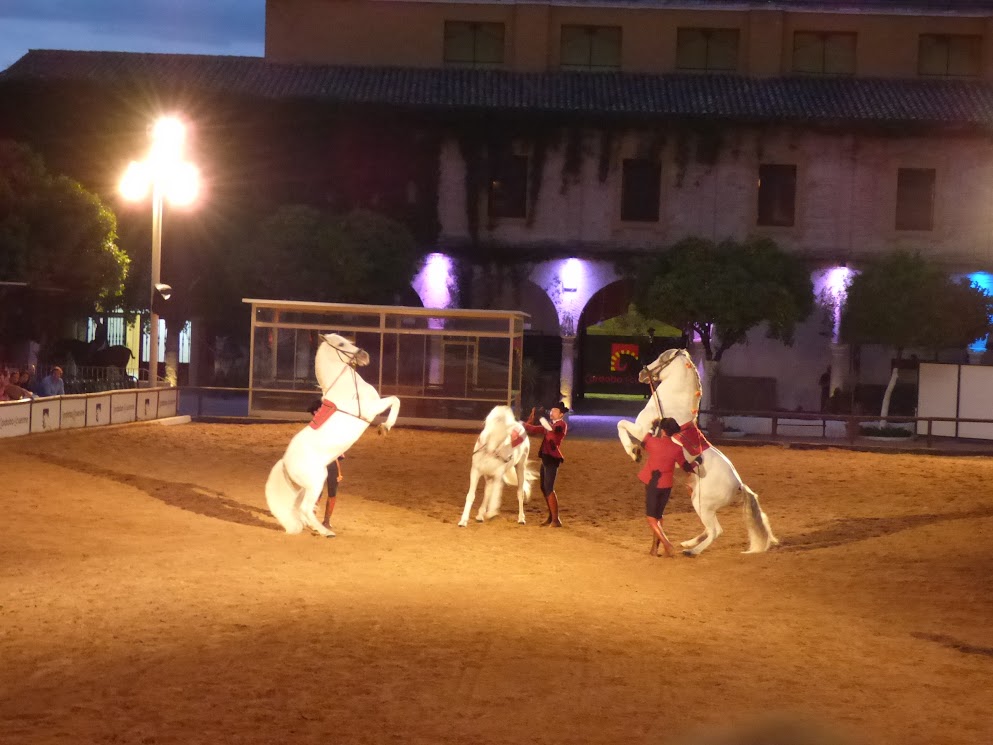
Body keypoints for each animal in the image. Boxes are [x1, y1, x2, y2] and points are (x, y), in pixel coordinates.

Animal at [268, 332, 404, 536]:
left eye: (349, 341)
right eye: (340, 344)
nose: (364, 355)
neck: (346, 387)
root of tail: (285, 462)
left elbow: (396, 400)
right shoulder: (371, 409)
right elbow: (396, 400)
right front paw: (385, 427)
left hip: (307, 486)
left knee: (300, 507)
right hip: (316, 482)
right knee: (305, 508)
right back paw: (325, 532)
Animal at [616, 348, 780, 552]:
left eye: (662, 358)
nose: (641, 374)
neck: (672, 405)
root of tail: (739, 485)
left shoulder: (641, 430)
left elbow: (621, 424)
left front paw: (633, 452)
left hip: (702, 504)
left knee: (716, 531)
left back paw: (692, 551)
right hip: (699, 501)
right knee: (710, 529)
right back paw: (688, 543)